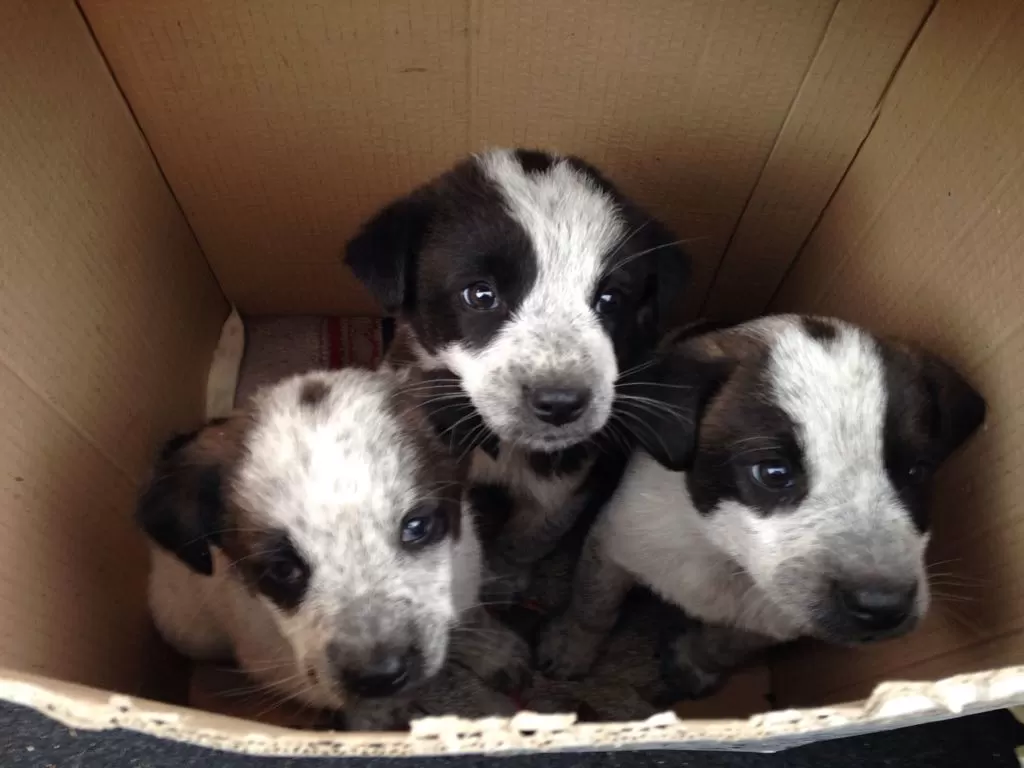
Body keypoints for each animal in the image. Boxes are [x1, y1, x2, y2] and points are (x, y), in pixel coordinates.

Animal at [342, 145, 688, 602]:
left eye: (610, 299)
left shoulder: (563, 487)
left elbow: (527, 540)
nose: (560, 404)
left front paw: (503, 578)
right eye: (480, 294)